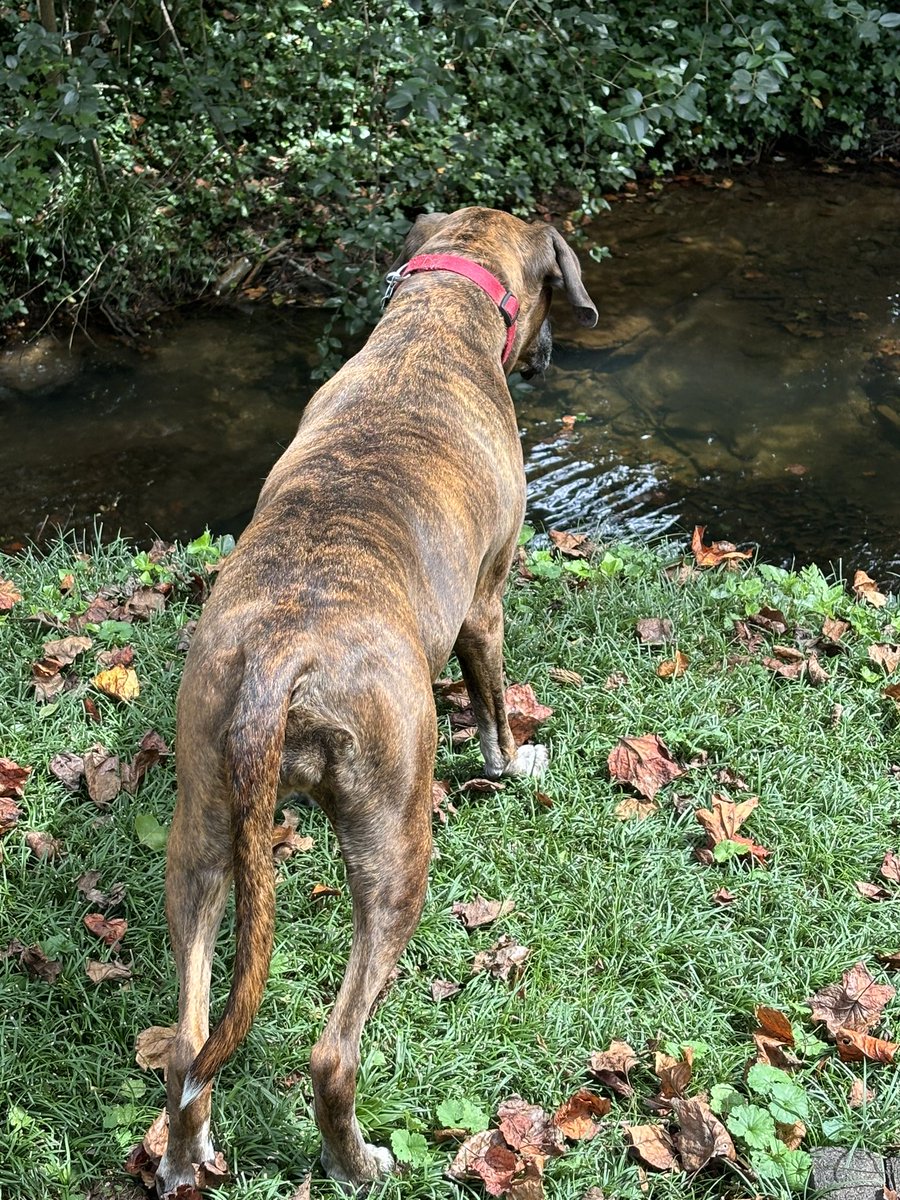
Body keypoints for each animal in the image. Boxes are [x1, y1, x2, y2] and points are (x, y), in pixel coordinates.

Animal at [154, 208, 600, 1190]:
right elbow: (494, 709)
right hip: (395, 846)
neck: (435, 322)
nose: (550, 357)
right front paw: (515, 762)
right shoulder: (486, 604)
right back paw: (357, 1162)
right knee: (333, 1054)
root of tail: (281, 657)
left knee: (190, 1045)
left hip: (201, 836)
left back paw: (186, 1154)